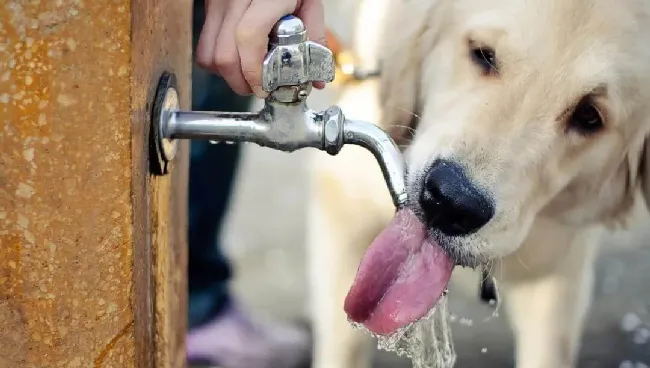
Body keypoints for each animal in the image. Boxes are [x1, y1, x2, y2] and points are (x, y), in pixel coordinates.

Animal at [306, 0, 648, 366]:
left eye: (589, 116)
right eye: (483, 54)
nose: (450, 203)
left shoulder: (559, 265)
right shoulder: (344, 199)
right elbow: (344, 343)